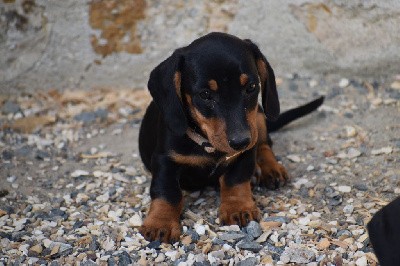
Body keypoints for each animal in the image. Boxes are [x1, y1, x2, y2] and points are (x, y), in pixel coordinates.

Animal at [139, 32, 324, 242]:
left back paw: (270, 169)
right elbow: (167, 192)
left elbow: (235, 179)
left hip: (258, 117)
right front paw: (160, 222)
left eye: (251, 87)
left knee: (264, 144)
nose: (241, 141)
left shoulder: (245, 153)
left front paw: (238, 207)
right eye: (205, 94)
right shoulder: (165, 160)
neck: (208, 145)